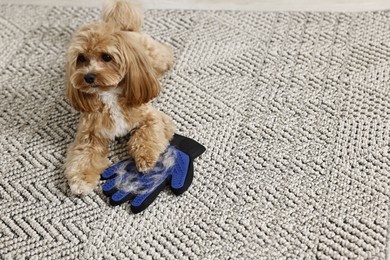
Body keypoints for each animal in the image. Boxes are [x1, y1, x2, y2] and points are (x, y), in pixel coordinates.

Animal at [64, 0, 174, 195]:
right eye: (81, 58)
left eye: (106, 57)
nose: (88, 77)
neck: (109, 95)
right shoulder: (89, 133)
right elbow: (83, 156)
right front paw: (81, 180)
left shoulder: (153, 118)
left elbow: (147, 135)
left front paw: (145, 159)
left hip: (155, 57)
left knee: (165, 53)